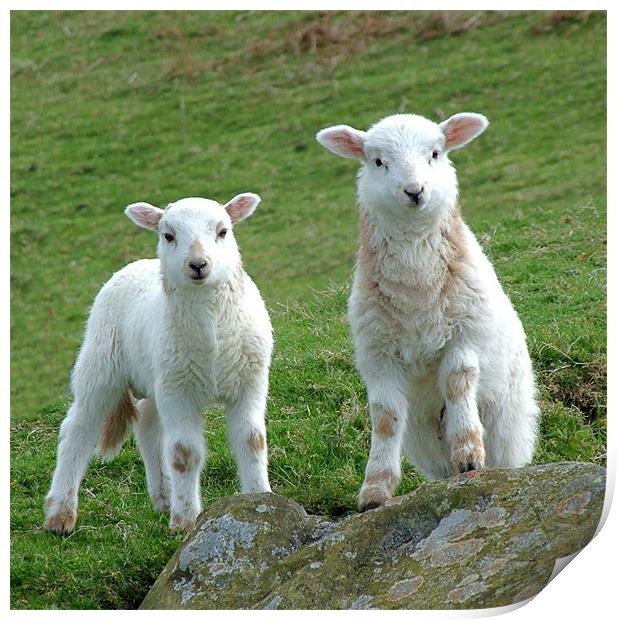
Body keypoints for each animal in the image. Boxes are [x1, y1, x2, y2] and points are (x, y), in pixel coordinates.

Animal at [44, 191, 270, 532]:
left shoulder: (250, 382)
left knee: (148, 425)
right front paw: (185, 521)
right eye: (168, 235)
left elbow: (252, 441)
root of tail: (137, 264)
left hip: (157, 374)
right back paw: (60, 514)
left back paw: (164, 497)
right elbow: (184, 453)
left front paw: (261, 500)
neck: (212, 336)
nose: (198, 264)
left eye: (223, 231)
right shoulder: (179, 392)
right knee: (78, 428)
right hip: (102, 365)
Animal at [318, 114, 540, 512]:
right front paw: (375, 489)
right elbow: (385, 416)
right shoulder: (378, 354)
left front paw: (469, 454)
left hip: (507, 423)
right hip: (423, 440)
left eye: (435, 154)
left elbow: (457, 381)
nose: (414, 191)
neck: (416, 292)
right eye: (378, 161)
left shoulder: (465, 333)